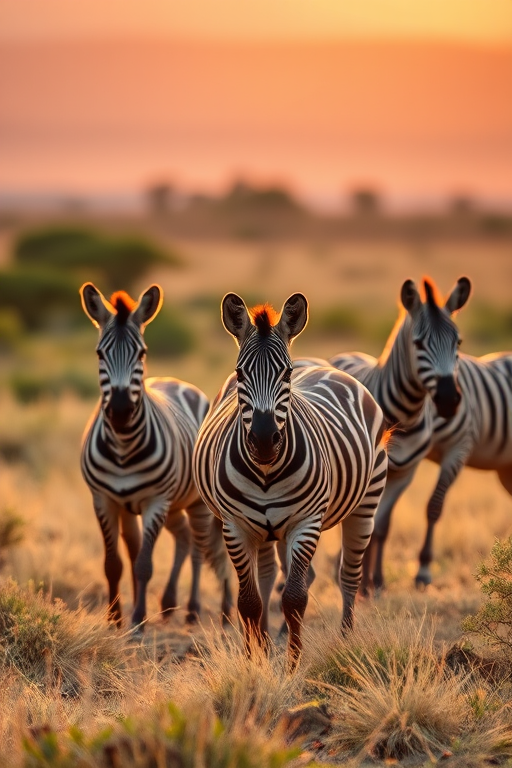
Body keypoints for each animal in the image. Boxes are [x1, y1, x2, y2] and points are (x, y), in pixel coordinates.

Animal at [80, 282, 232, 630]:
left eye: (142, 353)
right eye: (99, 354)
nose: (121, 411)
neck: (123, 445)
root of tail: (176, 381)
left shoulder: (155, 501)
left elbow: (144, 564)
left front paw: (137, 620)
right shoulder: (104, 500)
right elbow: (115, 563)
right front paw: (115, 619)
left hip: (193, 502)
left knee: (201, 548)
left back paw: (202, 610)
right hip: (169, 507)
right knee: (183, 540)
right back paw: (169, 604)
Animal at [193, 292, 389, 666]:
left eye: (286, 373)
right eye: (240, 373)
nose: (264, 440)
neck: (266, 472)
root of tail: (326, 365)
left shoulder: (306, 522)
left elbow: (295, 598)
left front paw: (293, 665)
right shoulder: (235, 526)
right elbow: (249, 600)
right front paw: (253, 660)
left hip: (365, 504)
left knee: (348, 576)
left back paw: (346, 640)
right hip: (266, 531)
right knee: (268, 578)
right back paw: (266, 642)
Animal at [324, 276, 471, 592]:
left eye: (458, 342)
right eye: (418, 343)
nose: (448, 400)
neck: (405, 417)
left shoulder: (406, 473)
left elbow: (381, 527)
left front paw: (375, 583)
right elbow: (366, 526)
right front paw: (362, 583)